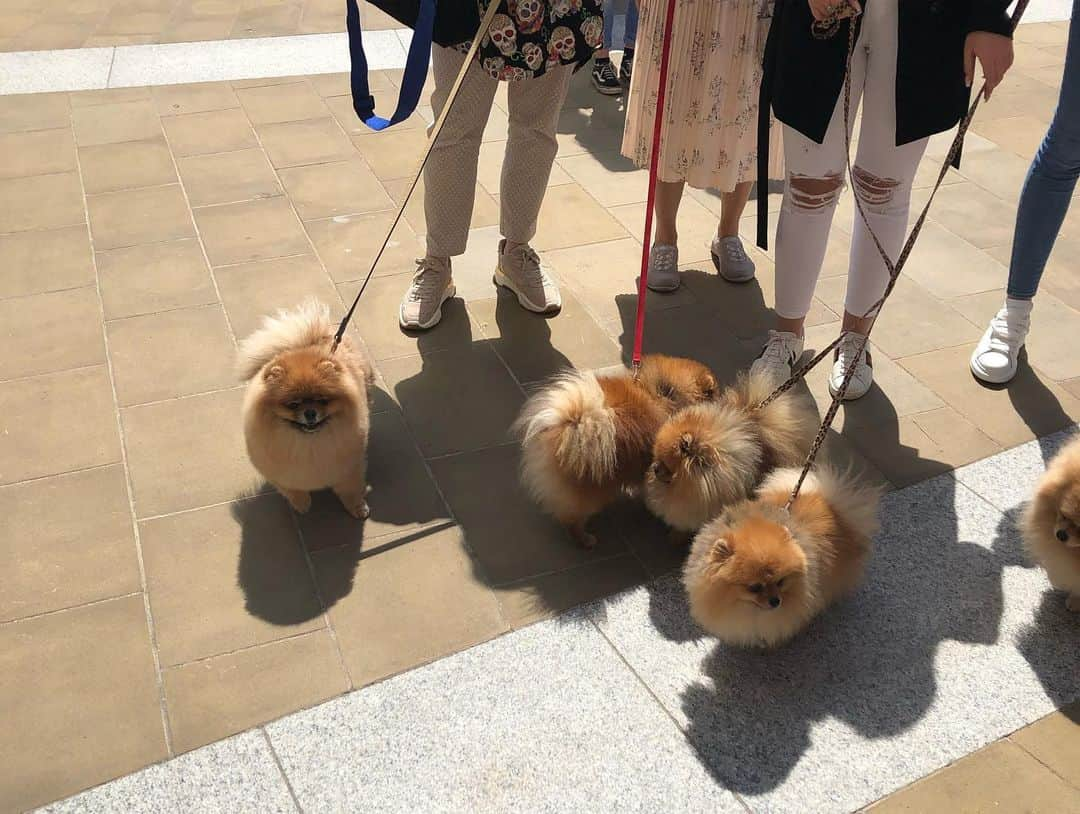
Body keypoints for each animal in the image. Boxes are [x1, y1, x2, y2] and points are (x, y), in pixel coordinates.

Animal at [238, 295, 373, 513]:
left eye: (322, 400)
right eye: (293, 404)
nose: (310, 412)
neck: (307, 445)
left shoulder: (347, 469)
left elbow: (350, 490)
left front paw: (358, 508)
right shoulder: (279, 473)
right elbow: (291, 489)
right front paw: (301, 504)